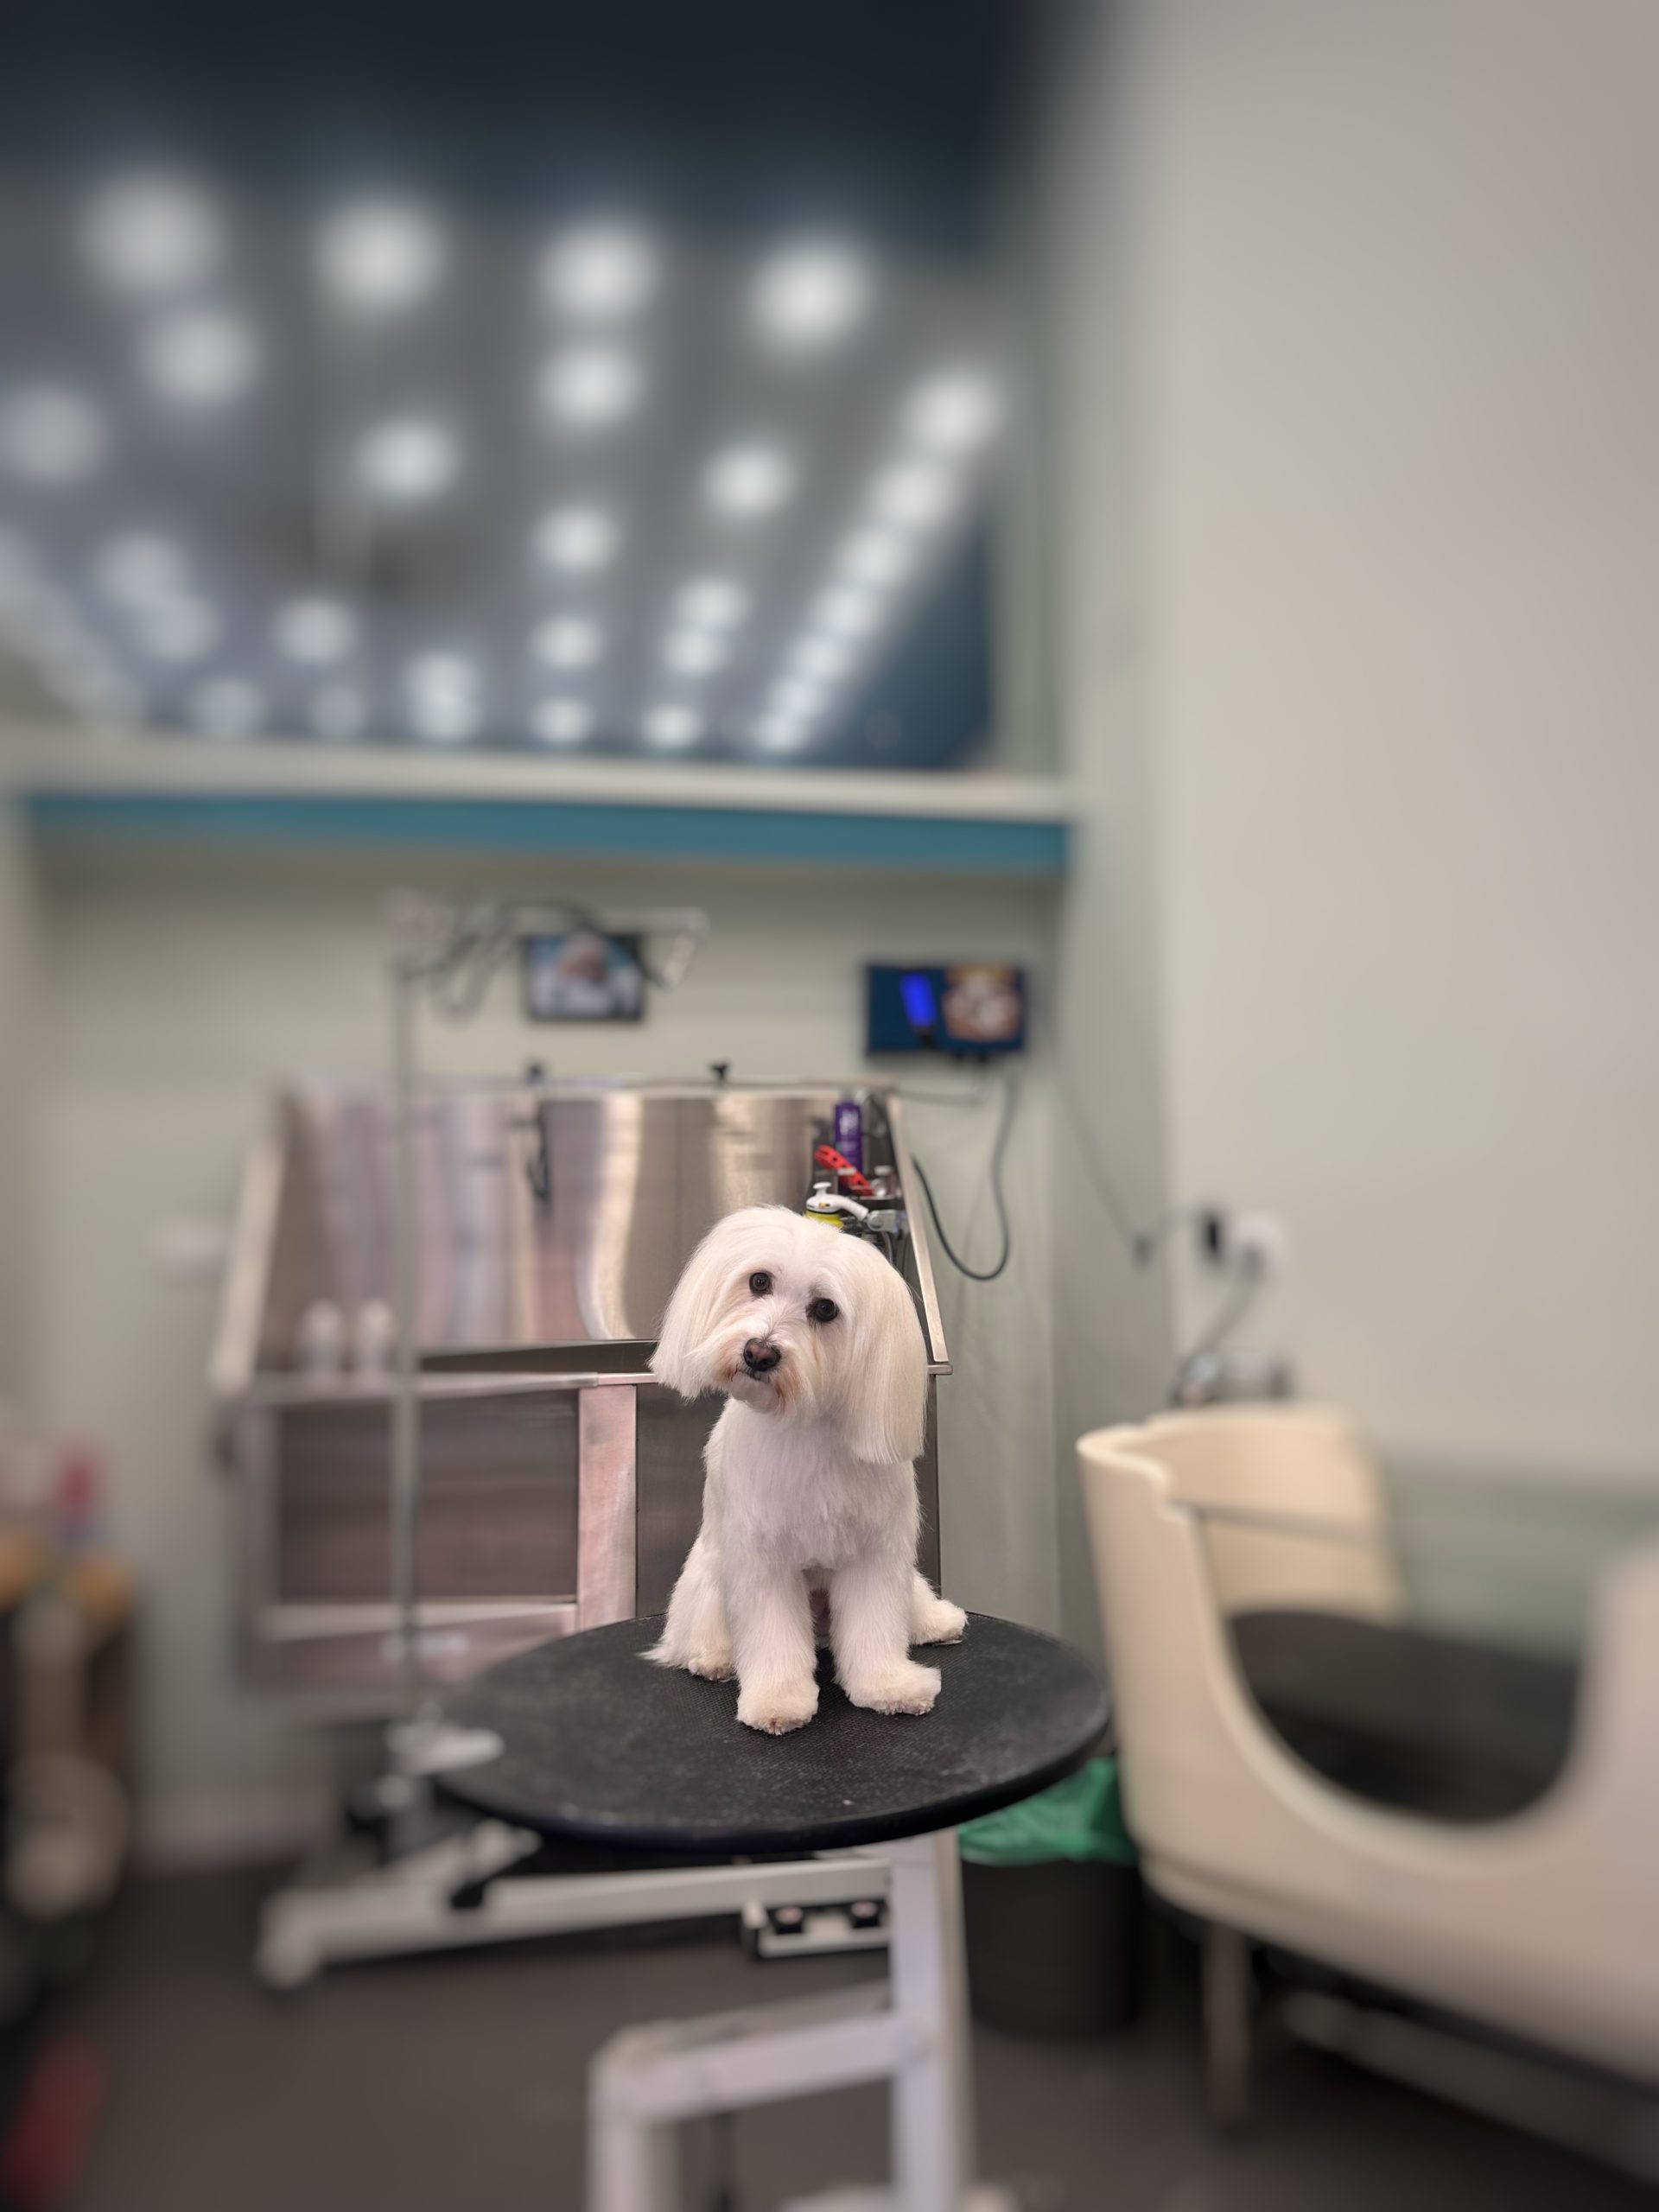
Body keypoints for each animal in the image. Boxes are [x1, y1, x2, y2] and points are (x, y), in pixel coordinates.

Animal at [648, 1204, 967, 1734]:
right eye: (758, 1281)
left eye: (825, 1309)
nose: (759, 1352)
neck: (805, 1425)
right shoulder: (763, 1558)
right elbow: (772, 1636)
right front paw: (777, 1702)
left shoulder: (876, 1552)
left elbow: (876, 1626)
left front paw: (888, 1686)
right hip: (706, 1581)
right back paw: (713, 1658)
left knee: (909, 1605)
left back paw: (936, 1622)